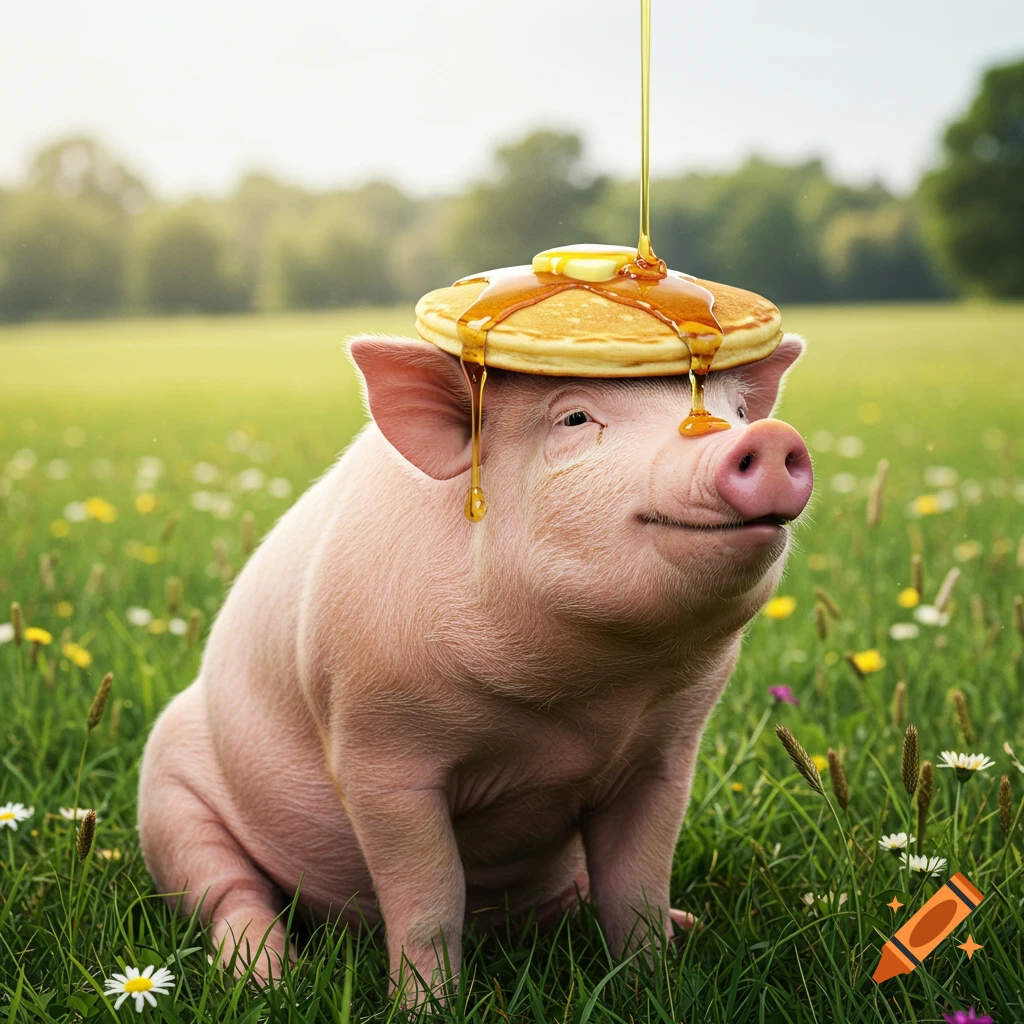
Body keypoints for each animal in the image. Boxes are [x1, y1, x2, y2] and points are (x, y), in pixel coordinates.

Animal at [137, 331, 813, 1001]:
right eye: (574, 417)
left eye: (739, 410)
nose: (768, 437)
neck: (578, 710)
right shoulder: (378, 753)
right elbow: (430, 904)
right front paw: (425, 1008)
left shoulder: (664, 756)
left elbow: (637, 889)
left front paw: (655, 986)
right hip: (168, 797)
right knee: (229, 895)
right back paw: (271, 982)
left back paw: (689, 924)